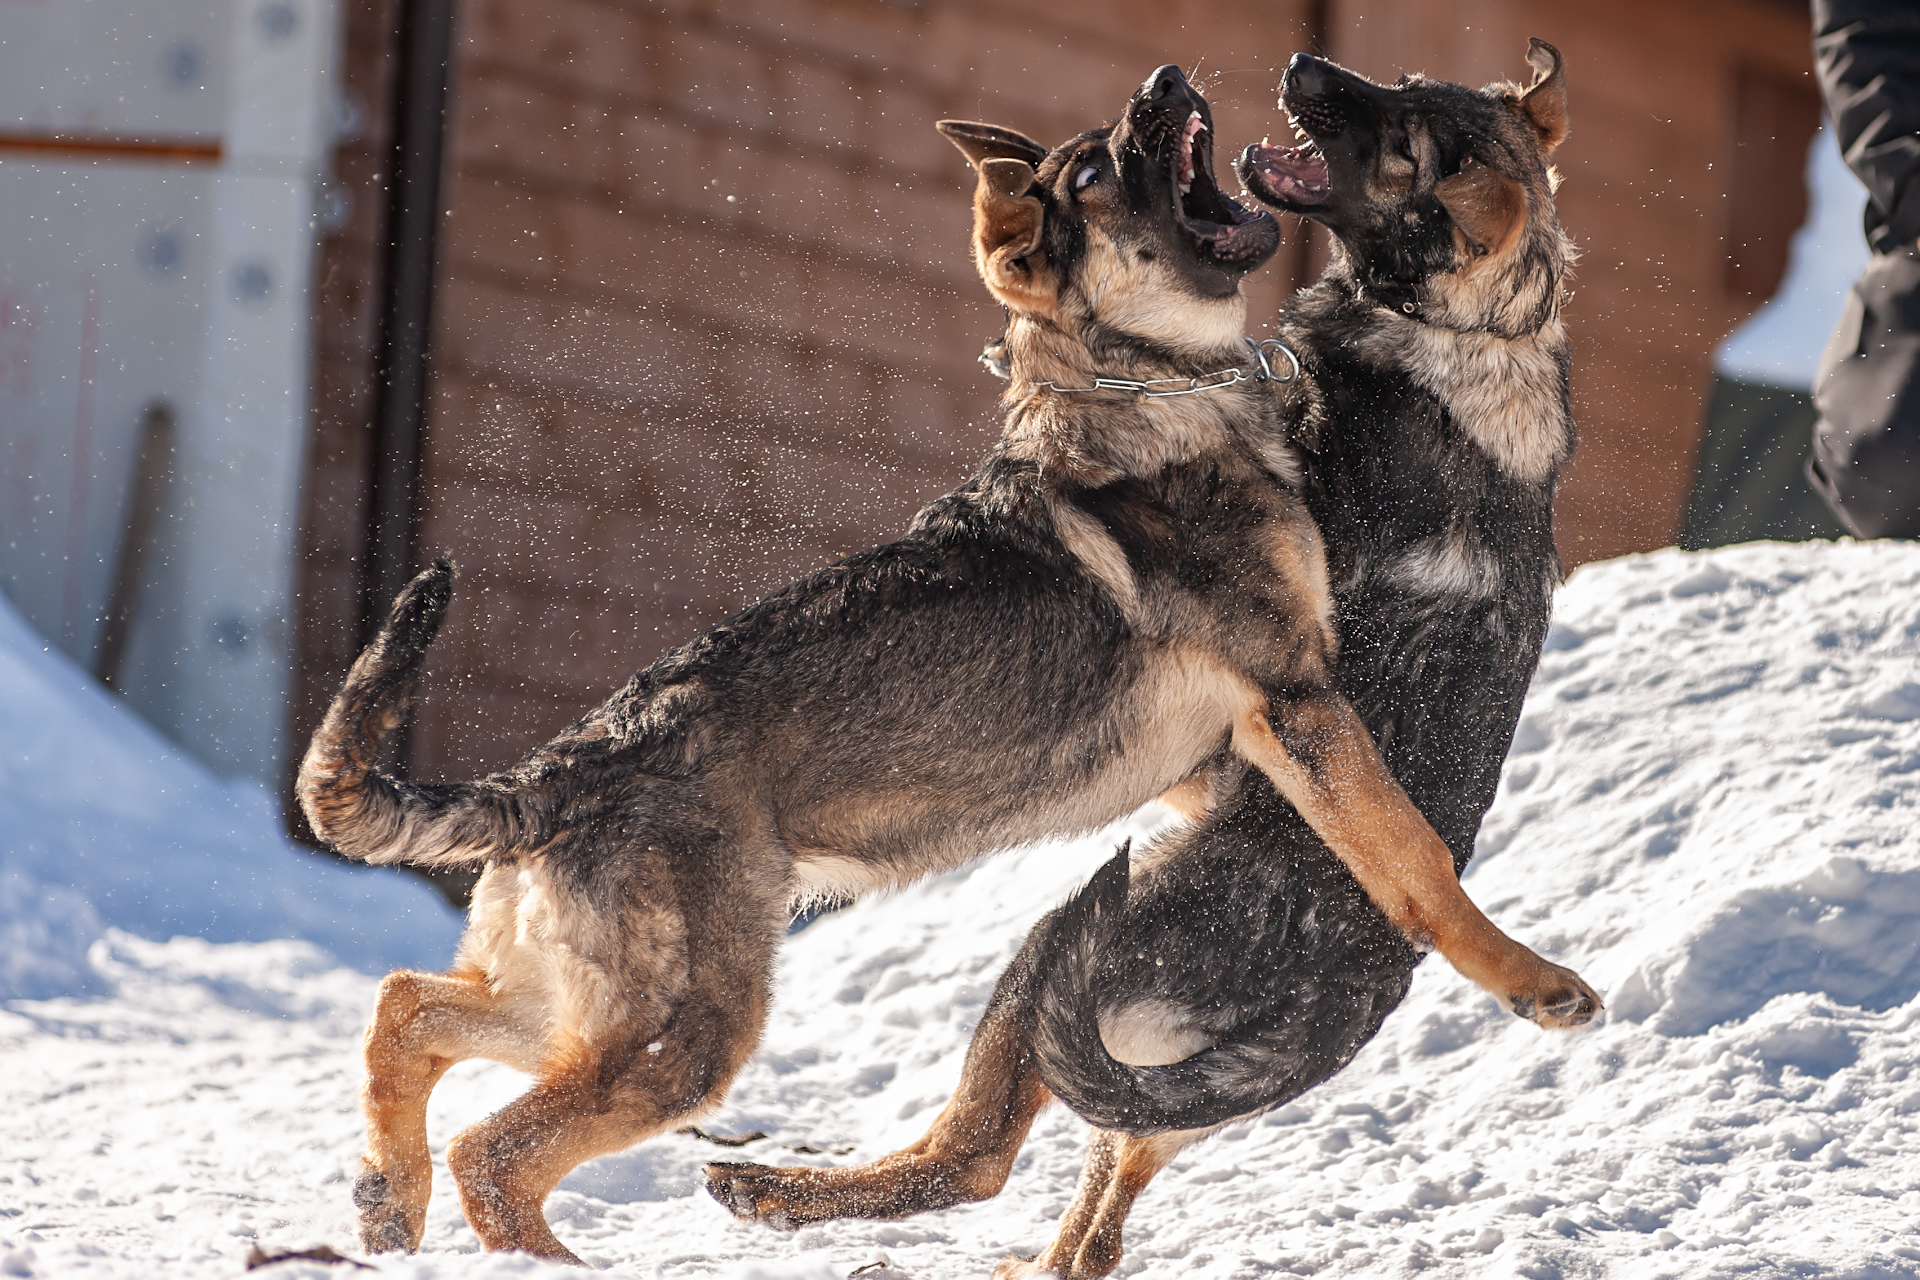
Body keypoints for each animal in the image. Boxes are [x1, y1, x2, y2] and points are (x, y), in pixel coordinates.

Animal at [714, 40, 1582, 1280]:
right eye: (1403, 86)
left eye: (1398, 129)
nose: (1302, 62)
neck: (1477, 334)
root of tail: (1324, 1009)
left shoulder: (1279, 670)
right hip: (1132, 1087)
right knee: (1093, 1214)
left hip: (1053, 961)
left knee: (972, 1157)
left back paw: (771, 1188)